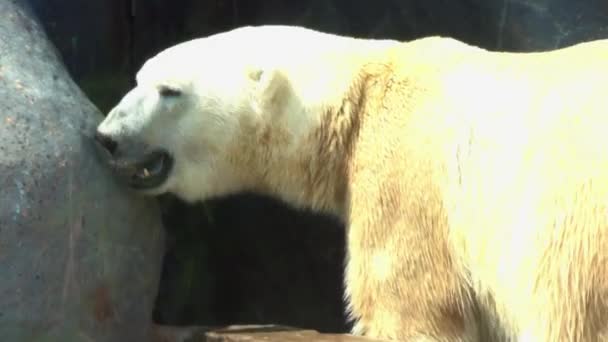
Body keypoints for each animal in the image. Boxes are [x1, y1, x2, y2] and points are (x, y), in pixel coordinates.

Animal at [95, 25, 608, 340]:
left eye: (170, 91)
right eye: (138, 77)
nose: (108, 138)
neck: (358, 90)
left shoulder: (407, 174)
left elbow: (409, 309)